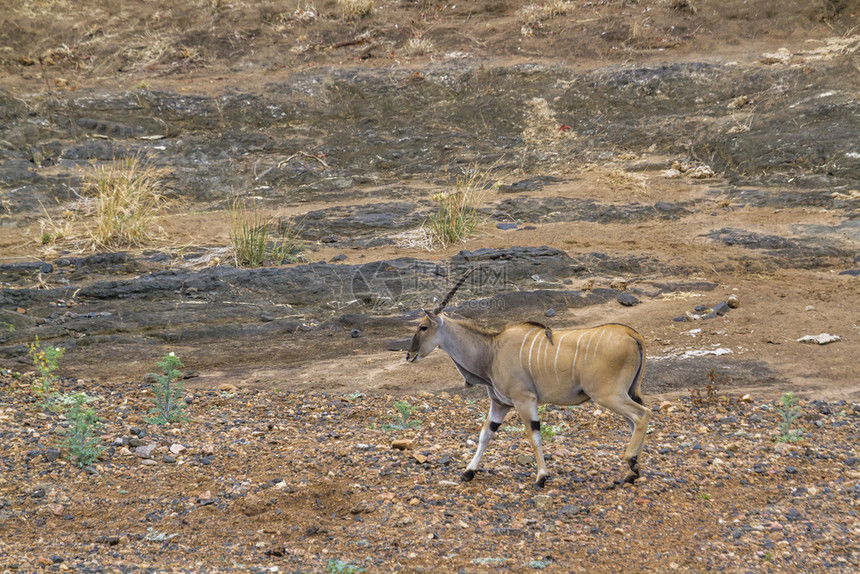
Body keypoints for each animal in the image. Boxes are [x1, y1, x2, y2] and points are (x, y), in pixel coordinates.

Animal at [406, 272, 648, 488]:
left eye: (423, 327)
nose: (409, 355)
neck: (492, 351)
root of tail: (632, 335)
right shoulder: (500, 403)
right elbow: (486, 433)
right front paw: (468, 472)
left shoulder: (524, 400)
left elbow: (534, 435)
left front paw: (541, 477)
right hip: (624, 394)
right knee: (634, 422)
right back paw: (631, 473)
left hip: (608, 395)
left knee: (642, 415)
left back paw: (631, 464)